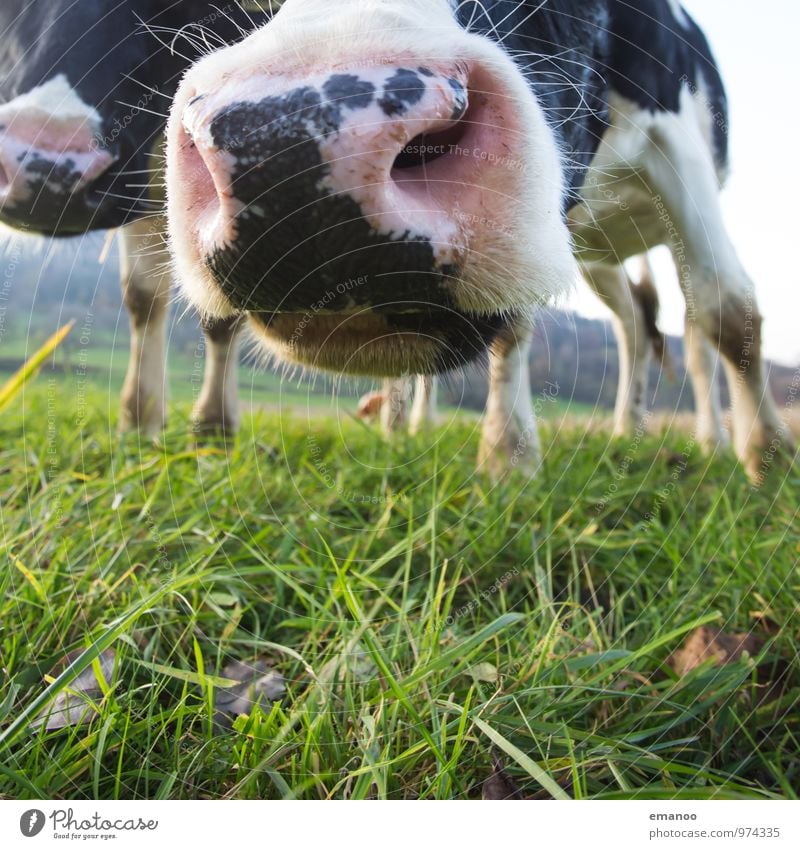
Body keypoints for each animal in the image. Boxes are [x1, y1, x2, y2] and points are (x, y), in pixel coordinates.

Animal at [161, 0, 788, 476]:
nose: (284, 151)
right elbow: (514, 325)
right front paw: (507, 456)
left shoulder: (675, 134)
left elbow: (730, 308)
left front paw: (770, 459)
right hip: (592, 249)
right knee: (634, 324)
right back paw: (621, 428)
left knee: (695, 332)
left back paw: (709, 440)